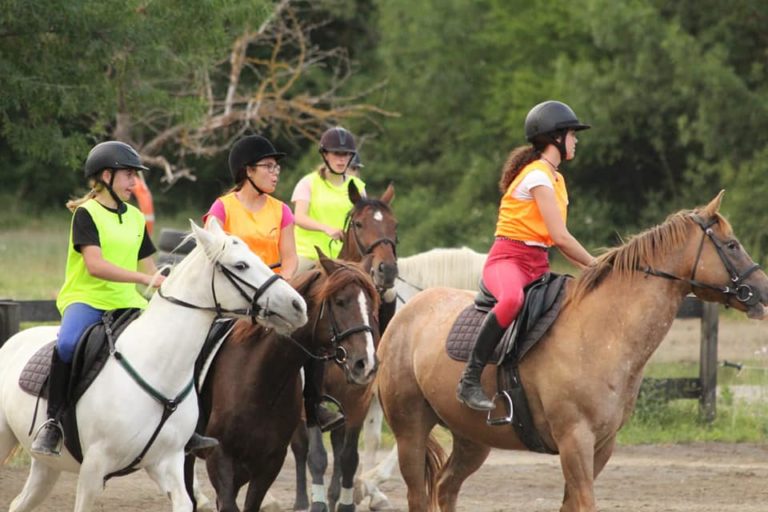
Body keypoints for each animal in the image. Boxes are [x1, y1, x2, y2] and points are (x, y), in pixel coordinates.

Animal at [0, 220, 306, 512]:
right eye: (240, 265)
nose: (297, 305)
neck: (159, 369)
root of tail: (12, 341)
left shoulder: (166, 461)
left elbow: (185, 502)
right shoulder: (93, 468)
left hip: (47, 467)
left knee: (18, 504)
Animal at [190, 254, 380, 510]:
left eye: (371, 305)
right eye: (340, 302)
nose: (365, 364)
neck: (260, 382)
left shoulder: (268, 465)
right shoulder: (220, 459)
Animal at [288, 183, 396, 512]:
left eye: (394, 224)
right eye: (359, 224)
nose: (387, 270)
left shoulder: (358, 400)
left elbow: (348, 458)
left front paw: (344, 501)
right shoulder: (311, 401)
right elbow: (316, 457)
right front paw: (318, 503)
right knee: (299, 448)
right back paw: (301, 501)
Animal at [376, 193, 768, 512]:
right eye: (732, 245)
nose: (763, 291)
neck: (604, 332)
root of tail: (406, 313)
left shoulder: (601, 446)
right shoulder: (575, 441)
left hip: (472, 439)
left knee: (446, 488)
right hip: (410, 432)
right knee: (418, 495)